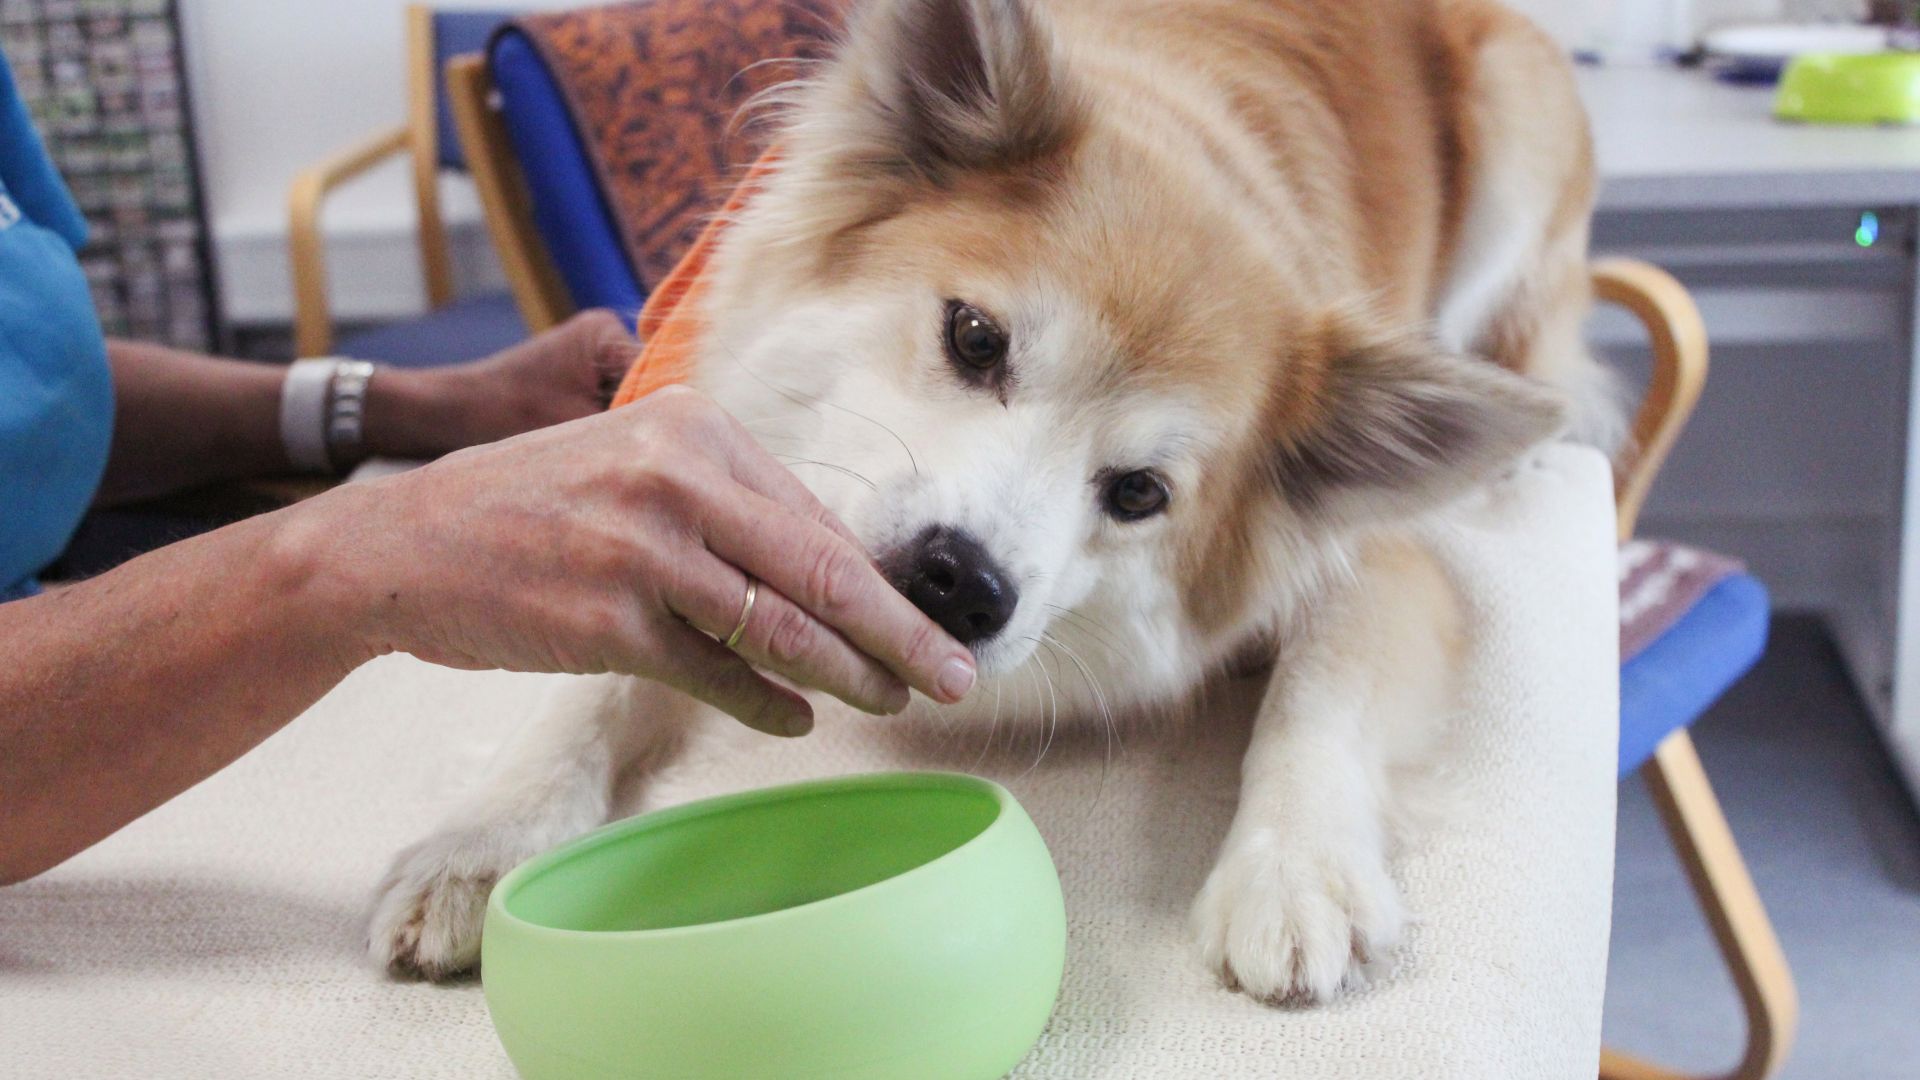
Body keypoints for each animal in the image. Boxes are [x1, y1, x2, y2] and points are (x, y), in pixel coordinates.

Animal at [370, 0, 1605, 999]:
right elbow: (596, 676)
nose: (961, 582)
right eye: (974, 338)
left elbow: (1322, 691)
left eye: (1139, 491)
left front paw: (1295, 871)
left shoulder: (1381, 558)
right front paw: (482, 837)